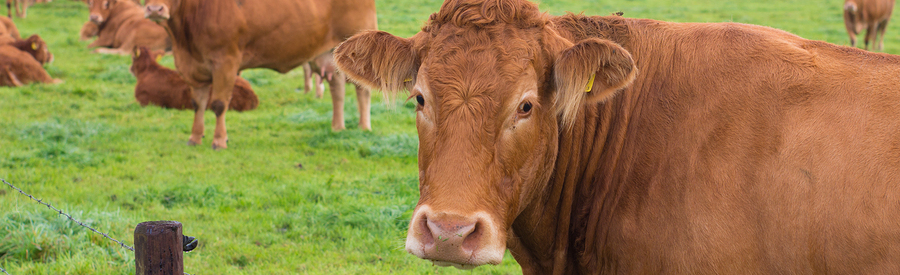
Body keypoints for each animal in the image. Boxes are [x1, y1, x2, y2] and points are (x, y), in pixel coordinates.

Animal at [146, 0, 378, 149]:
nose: (155, 9)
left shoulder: (226, 63)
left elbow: (219, 104)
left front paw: (219, 140)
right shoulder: (194, 68)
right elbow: (198, 104)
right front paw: (195, 136)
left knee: (363, 91)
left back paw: (364, 127)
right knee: (337, 89)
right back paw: (337, 127)